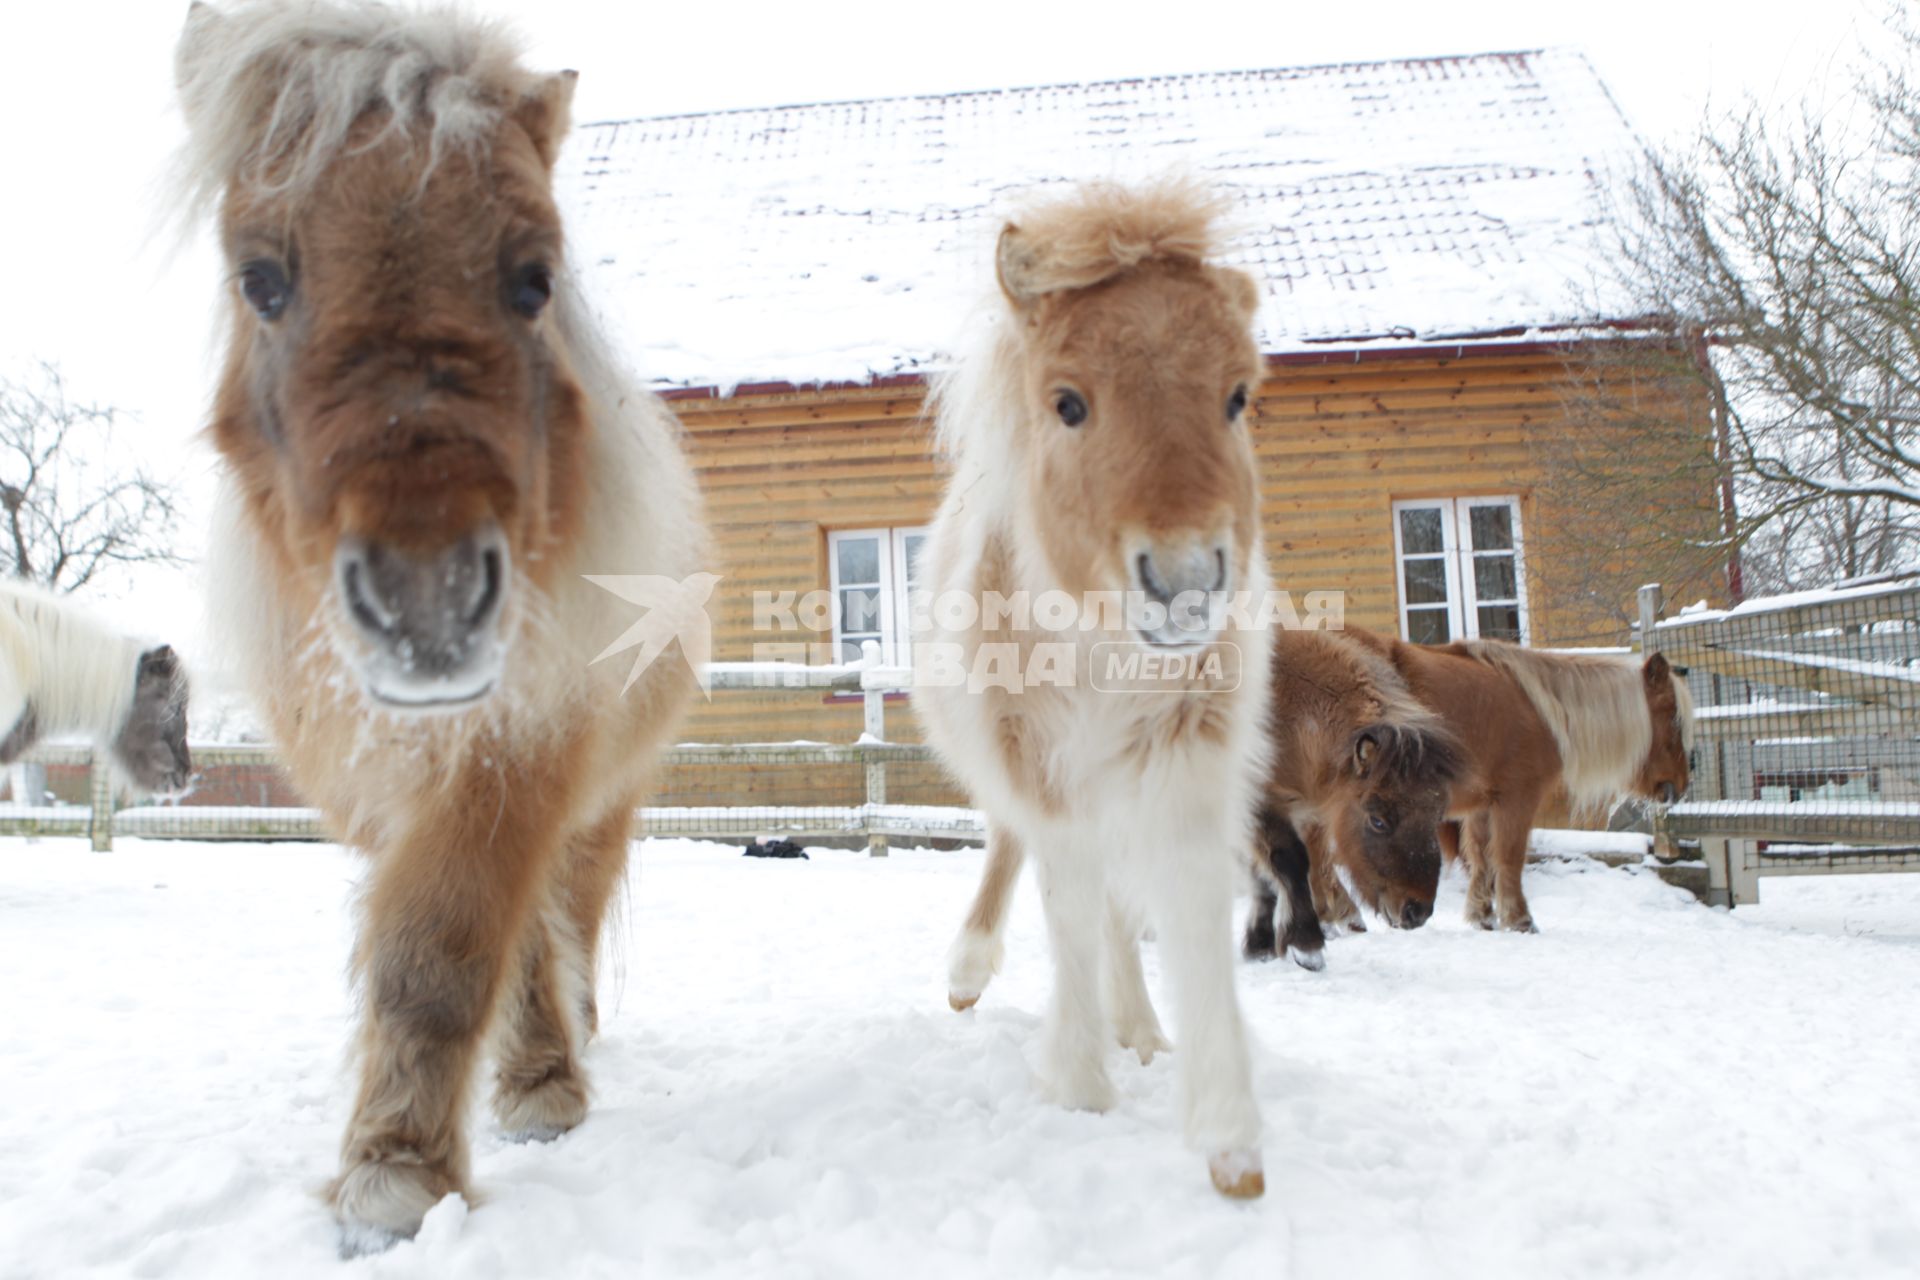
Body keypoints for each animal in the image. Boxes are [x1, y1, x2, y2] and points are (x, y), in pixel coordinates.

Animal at [172, 2, 710, 1251]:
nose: (426, 598)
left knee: (568, 907)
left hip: (606, 793)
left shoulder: (518, 749)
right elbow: (444, 942)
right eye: (260, 278)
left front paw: (397, 1175)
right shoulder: (376, 786)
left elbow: (445, 945)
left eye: (533, 279)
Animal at [913, 177, 1274, 1205]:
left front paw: (1228, 1140)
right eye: (1068, 403)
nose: (1185, 581)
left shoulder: (1188, 752)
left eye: (1238, 395)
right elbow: (1066, 899)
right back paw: (969, 972)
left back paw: (1141, 1030)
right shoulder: (1040, 764)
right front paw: (1077, 1087)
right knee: (1015, 851)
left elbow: (1186, 903)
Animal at [1336, 629, 1697, 932]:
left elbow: (1481, 857)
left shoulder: (1481, 804)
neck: (1540, 710)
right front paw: (1520, 920)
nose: (1681, 785)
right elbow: (1509, 857)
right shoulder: (1517, 799)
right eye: (1673, 719)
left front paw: (1483, 915)